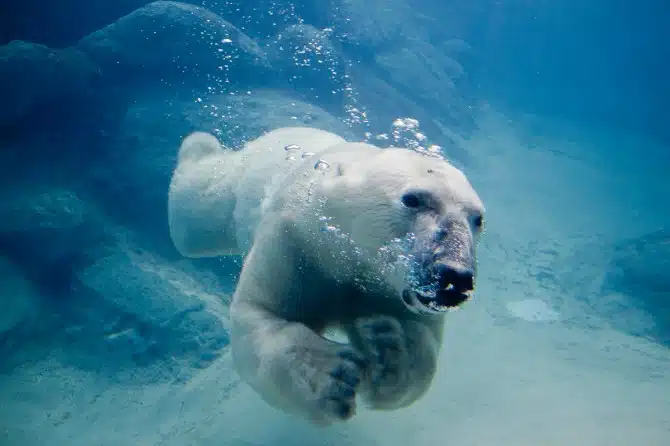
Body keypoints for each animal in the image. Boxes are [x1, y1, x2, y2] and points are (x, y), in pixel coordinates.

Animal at [167, 127, 485, 426]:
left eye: (478, 219)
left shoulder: (392, 291)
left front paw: (389, 347)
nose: (455, 277)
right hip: (241, 181)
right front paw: (331, 376)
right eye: (413, 199)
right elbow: (261, 313)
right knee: (197, 213)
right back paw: (198, 145)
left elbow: (422, 345)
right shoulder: (296, 242)